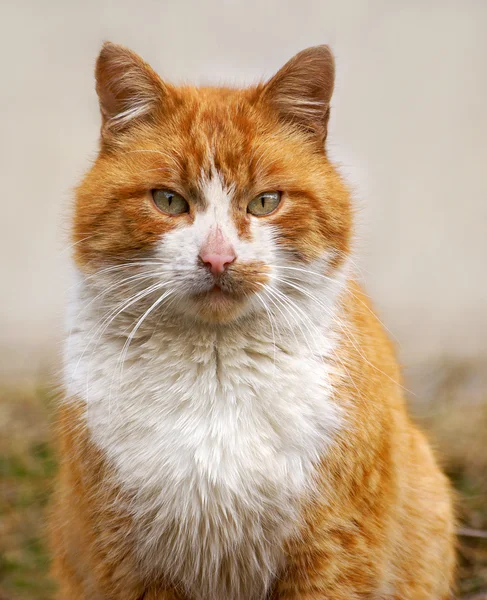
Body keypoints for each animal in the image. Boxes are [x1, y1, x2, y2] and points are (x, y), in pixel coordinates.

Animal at [50, 42, 458, 600]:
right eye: (169, 200)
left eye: (266, 202)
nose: (218, 258)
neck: (216, 373)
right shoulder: (127, 561)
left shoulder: (332, 550)